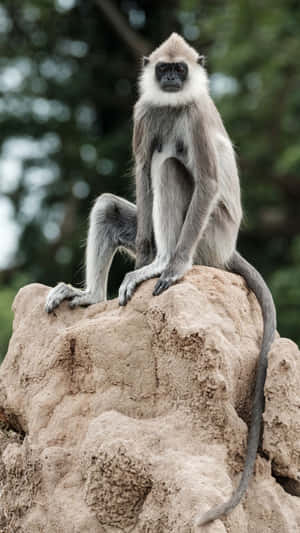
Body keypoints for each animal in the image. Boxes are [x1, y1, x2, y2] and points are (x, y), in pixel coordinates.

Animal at [45, 34, 278, 528]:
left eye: (180, 70)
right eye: (164, 69)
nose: (171, 79)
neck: (173, 105)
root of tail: (227, 251)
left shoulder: (196, 114)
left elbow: (205, 179)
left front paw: (170, 268)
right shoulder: (145, 112)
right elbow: (140, 169)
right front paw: (144, 262)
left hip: (209, 235)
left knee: (171, 168)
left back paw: (165, 264)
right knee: (112, 204)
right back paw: (95, 292)